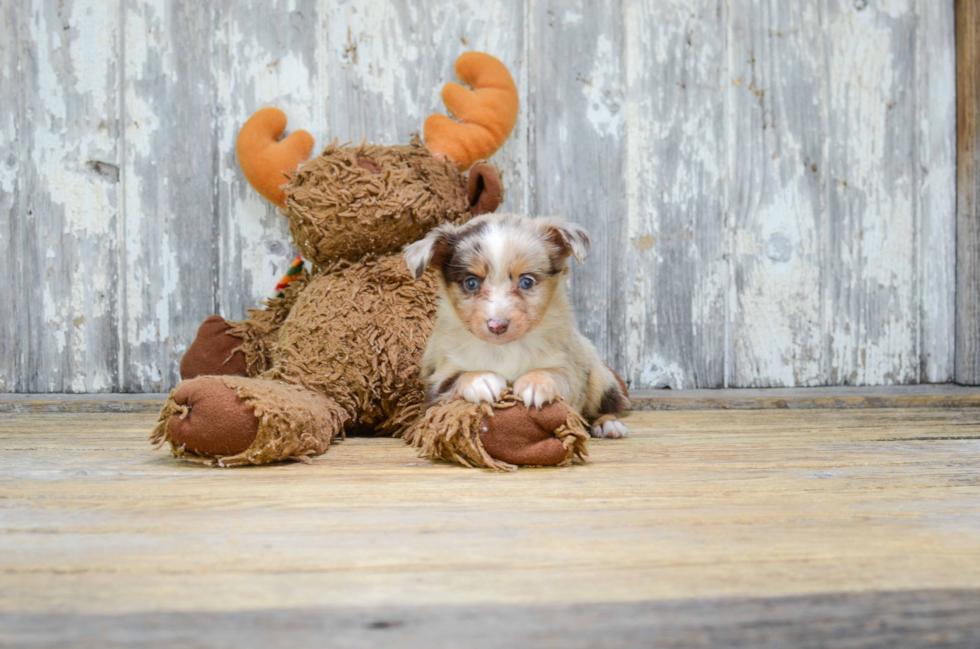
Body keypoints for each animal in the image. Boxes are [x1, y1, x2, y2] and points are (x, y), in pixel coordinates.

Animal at [404, 211, 628, 436]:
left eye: (526, 282)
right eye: (471, 282)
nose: (497, 326)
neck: (505, 348)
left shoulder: (568, 370)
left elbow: (555, 375)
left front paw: (535, 383)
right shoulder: (436, 382)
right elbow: (456, 378)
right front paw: (482, 380)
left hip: (598, 377)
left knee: (608, 404)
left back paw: (609, 425)